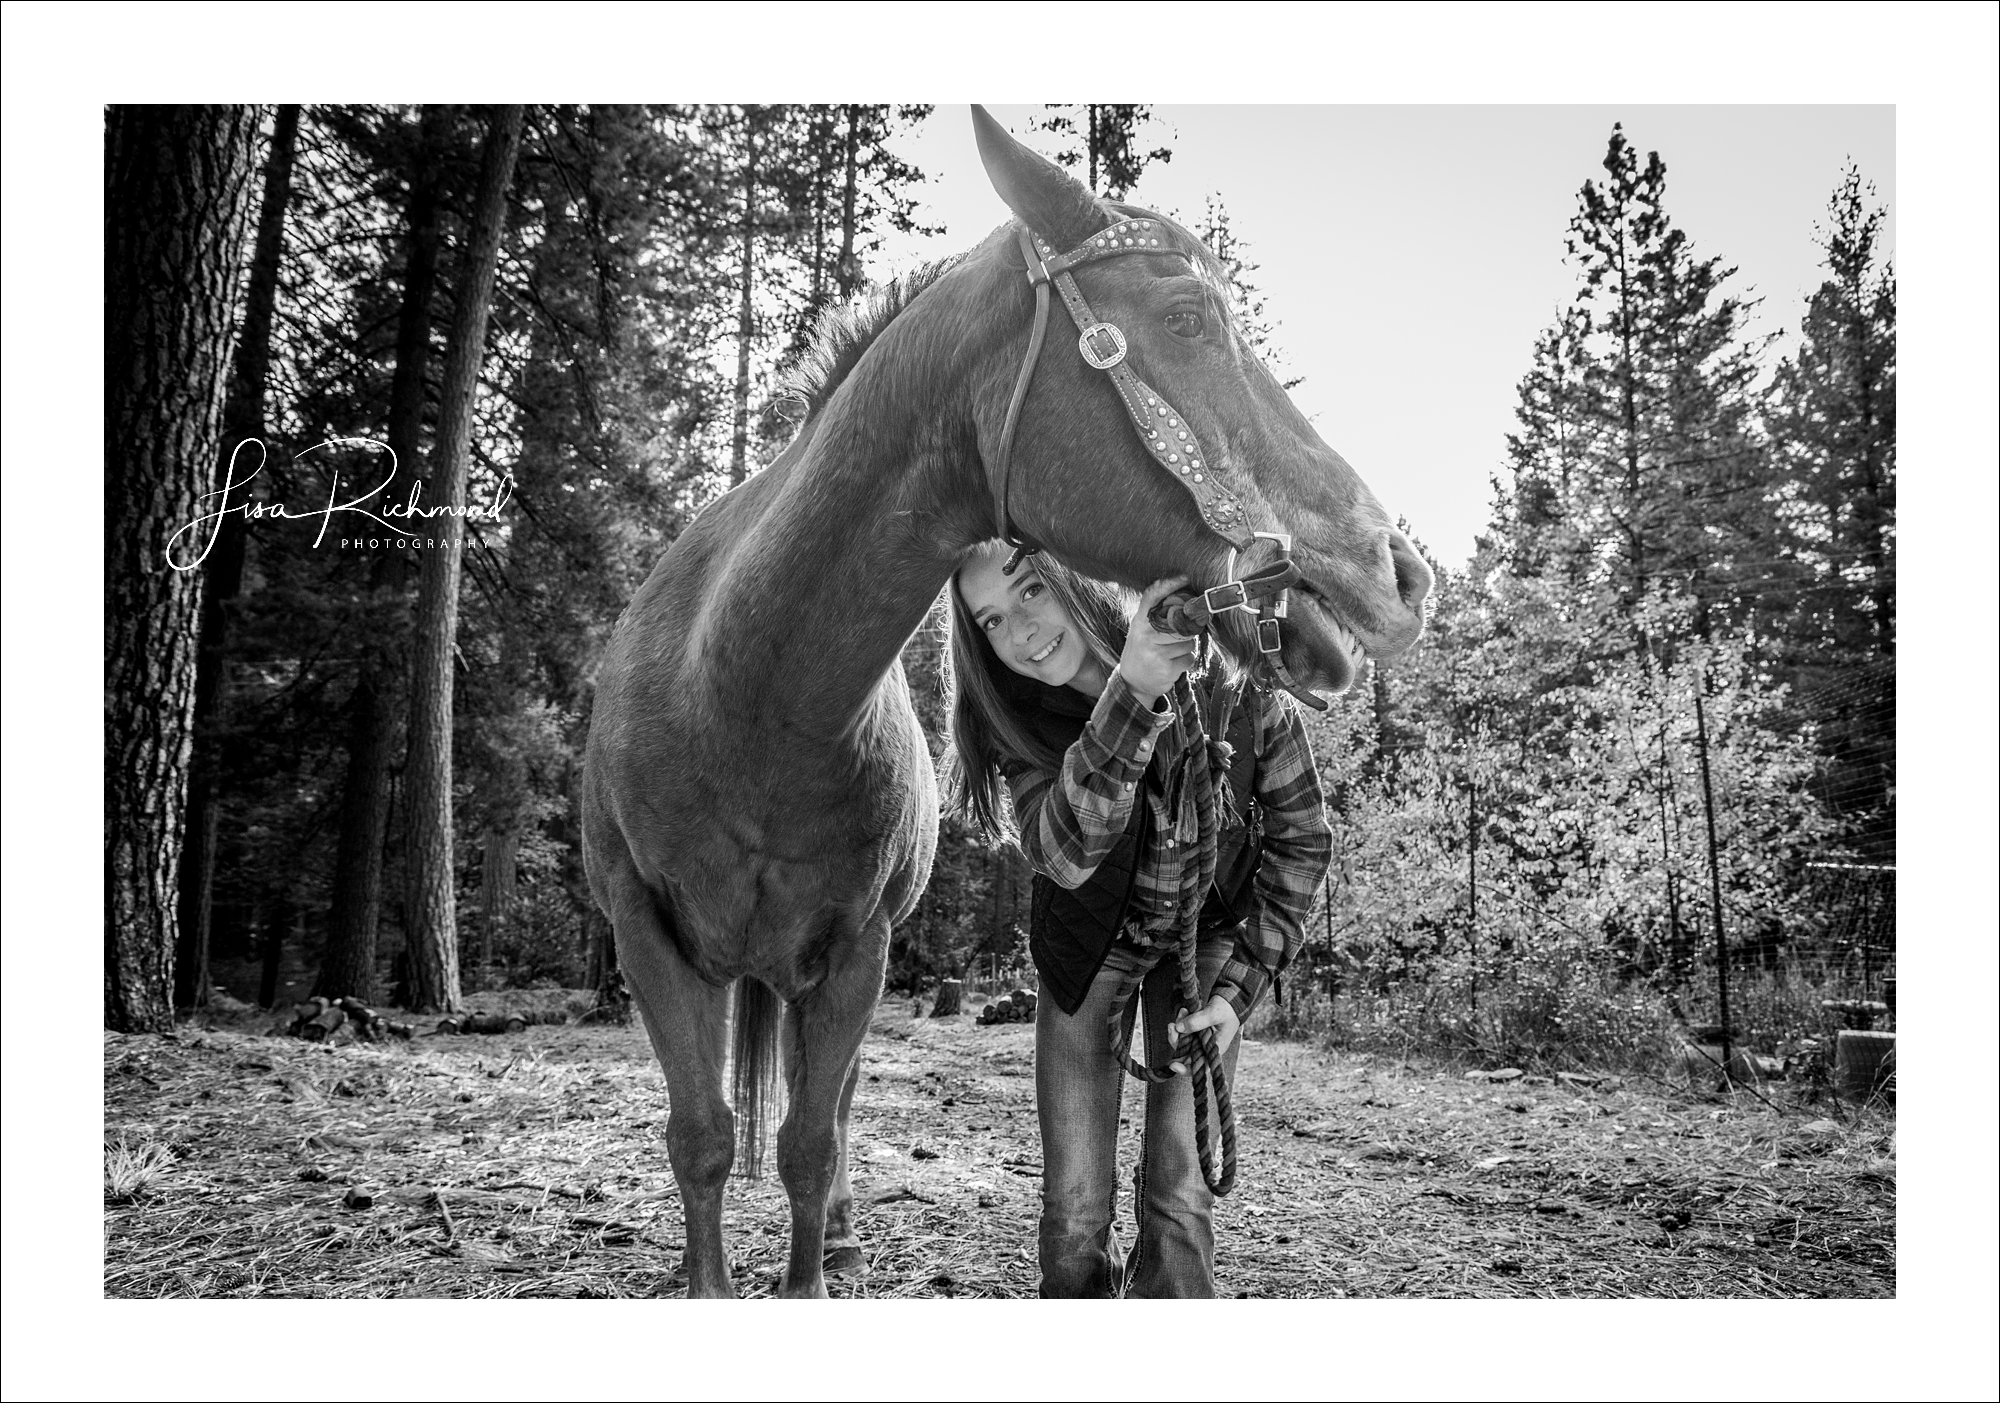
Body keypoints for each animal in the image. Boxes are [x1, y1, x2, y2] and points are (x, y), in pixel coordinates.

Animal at [584, 104, 1440, 1303]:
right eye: (1184, 317)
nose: (1398, 573)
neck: (751, 704)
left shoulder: (855, 954)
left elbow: (808, 1141)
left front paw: (814, 1267)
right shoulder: (645, 937)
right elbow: (702, 1139)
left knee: (828, 1113)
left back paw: (840, 1239)